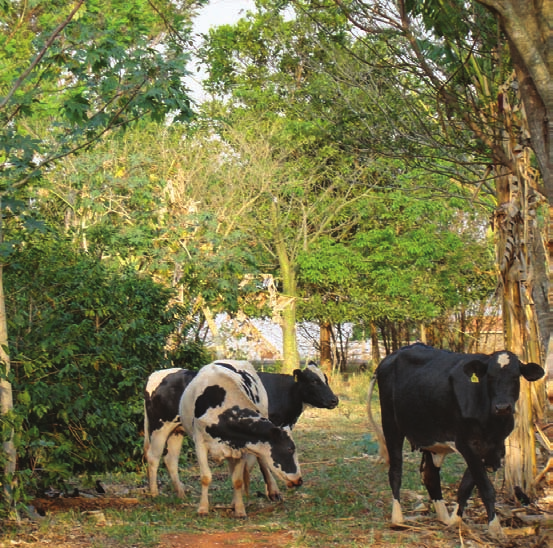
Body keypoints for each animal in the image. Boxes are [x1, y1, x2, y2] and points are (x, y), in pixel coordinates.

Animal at [143, 362, 336, 498]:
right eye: (314, 381)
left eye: (326, 379)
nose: (335, 400)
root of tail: (156, 374)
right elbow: (261, 461)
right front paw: (272, 491)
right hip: (159, 426)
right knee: (153, 456)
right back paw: (154, 493)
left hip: (176, 431)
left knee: (170, 459)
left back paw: (181, 493)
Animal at [179, 362, 302, 516]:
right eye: (290, 448)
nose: (299, 480)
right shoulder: (200, 443)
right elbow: (206, 477)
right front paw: (203, 508)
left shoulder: (242, 446)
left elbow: (237, 480)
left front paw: (239, 510)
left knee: (261, 461)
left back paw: (271, 491)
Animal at [366, 344, 544, 536]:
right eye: (489, 376)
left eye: (515, 376)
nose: (503, 407)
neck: (490, 420)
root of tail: (392, 356)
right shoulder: (466, 444)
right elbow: (486, 488)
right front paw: (495, 528)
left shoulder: (492, 445)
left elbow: (466, 486)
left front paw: (455, 521)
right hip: (391, 425)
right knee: (395, 471)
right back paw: (398, 519)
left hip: (430, 438)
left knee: (430, 476)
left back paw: (443, 518)